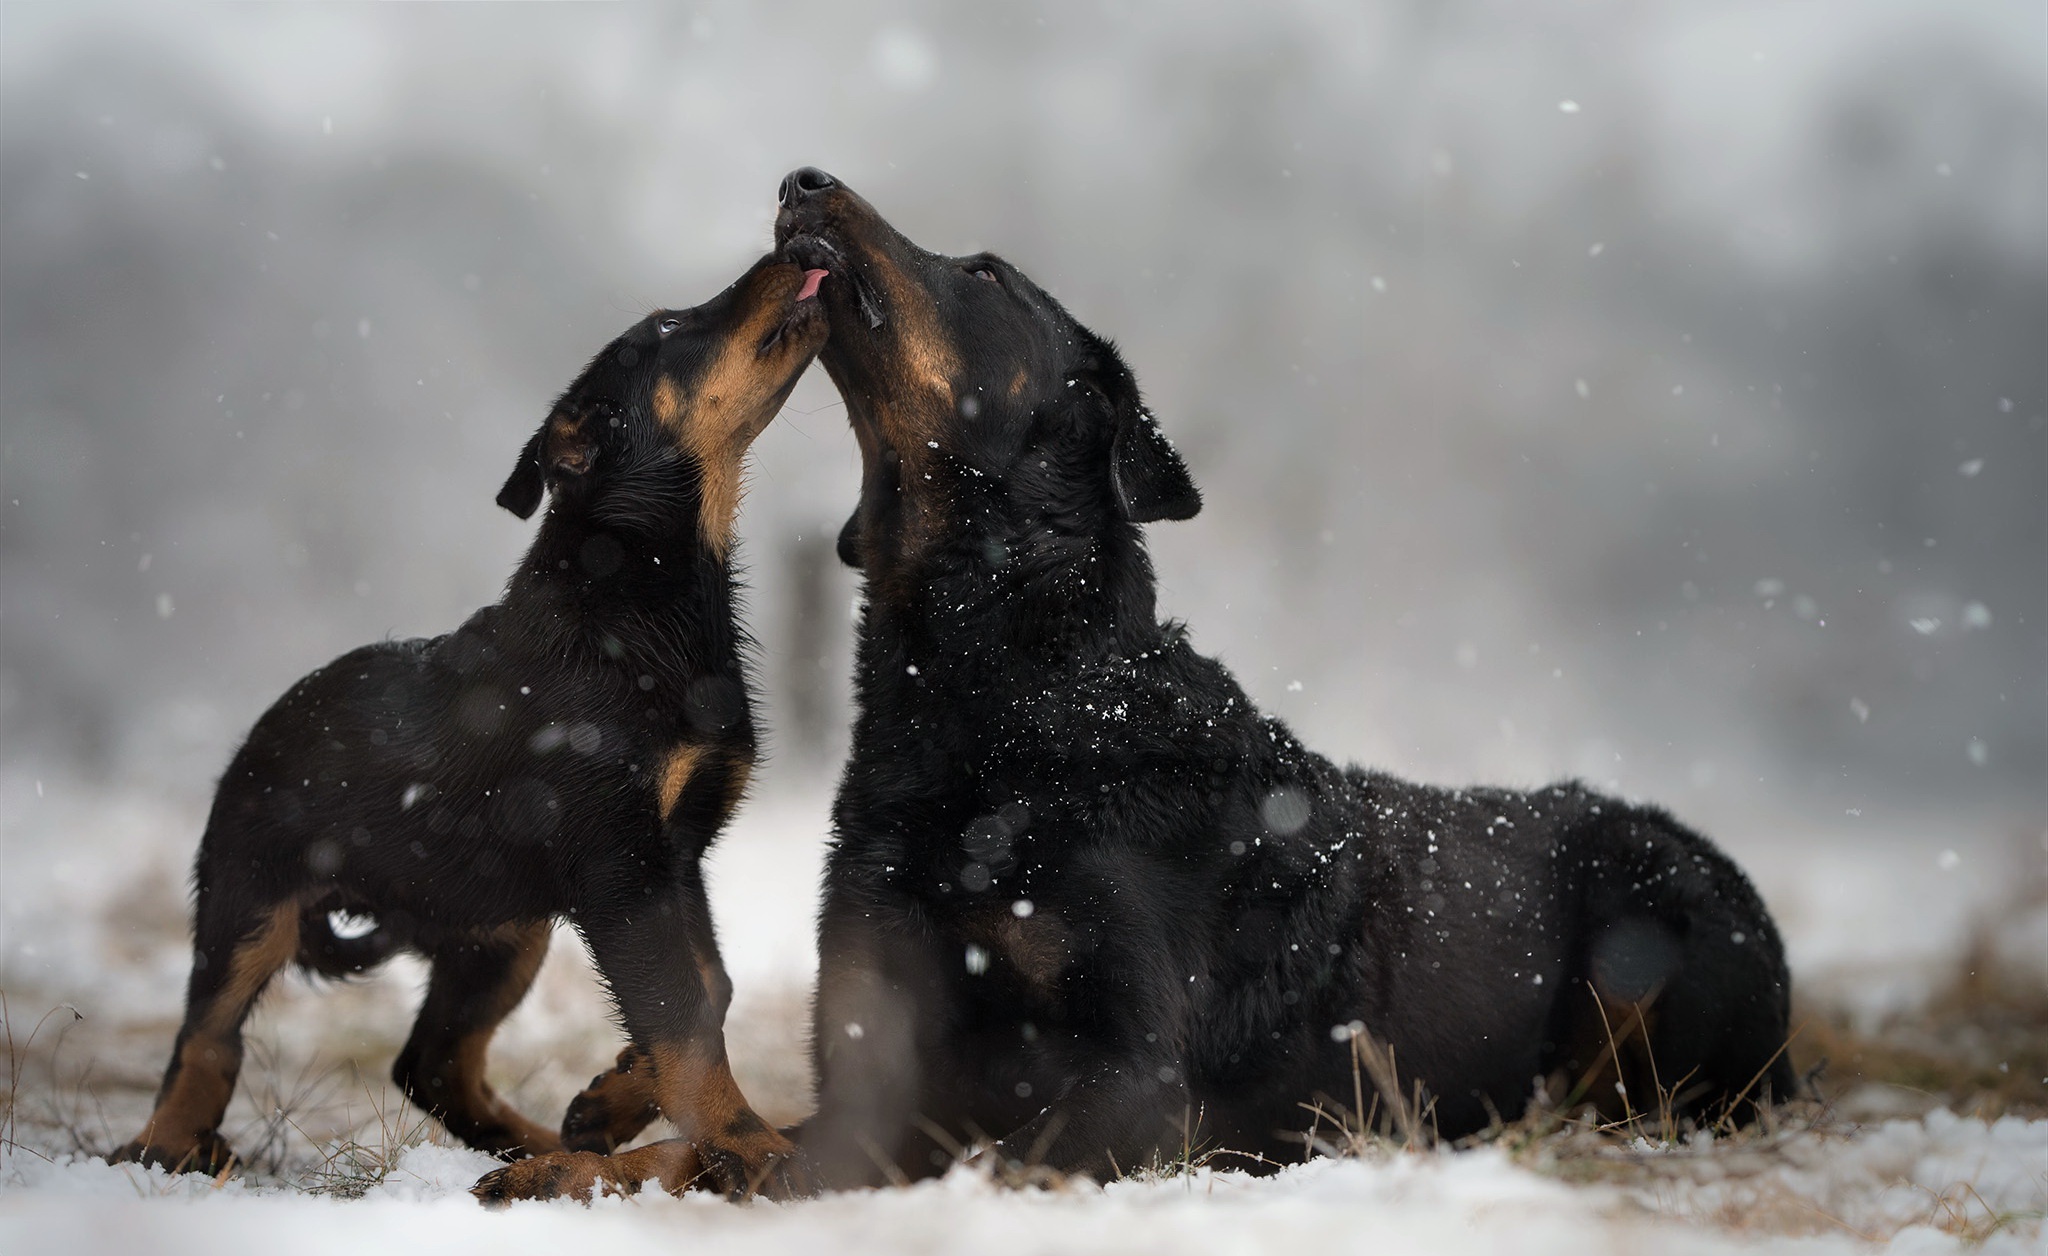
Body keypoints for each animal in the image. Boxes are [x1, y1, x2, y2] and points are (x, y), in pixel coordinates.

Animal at [108, 252, 827, 1196]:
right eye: (672, 327)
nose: (798, 246)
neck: (642, 595)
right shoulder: (624, 868)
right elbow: (684, 1014)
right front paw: (750, 1144)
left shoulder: (675, 857)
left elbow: (708, 987)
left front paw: (609, 1103)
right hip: (251, 891)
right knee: (208, 1036)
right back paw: (170, 1148)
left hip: (498, 927)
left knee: (431, 1061)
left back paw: (547, 1153)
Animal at [507, 166, 1794, 1196]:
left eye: (983, 271)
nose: (801, 180)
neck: (1004, 694)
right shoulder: (877, 1020)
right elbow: (743, 1140)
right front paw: (569, 1159)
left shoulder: (1135, 1076)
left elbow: (930, 1156)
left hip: (1650, 927)